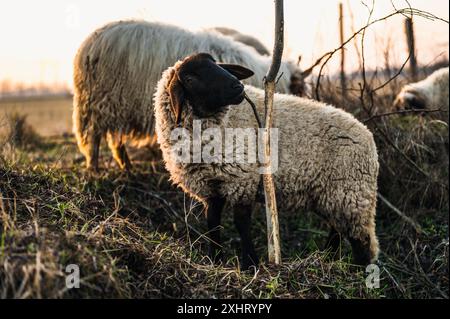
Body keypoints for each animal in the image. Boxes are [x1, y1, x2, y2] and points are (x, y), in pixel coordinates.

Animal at [72, 20, 312, 171]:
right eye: (300, 90)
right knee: (94, 138)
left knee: (114, 140)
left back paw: (127, 167)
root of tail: (87, 45)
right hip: (101, 103)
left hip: (116, 106)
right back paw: (94, 168)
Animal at [154, 53, 380, 268]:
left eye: (217, 64)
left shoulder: (242, 179)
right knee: (338, 229)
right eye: (190, 79)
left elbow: (241, 222)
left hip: (350, 192)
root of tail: (368, 136)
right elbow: (213, 222)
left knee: (362, 241)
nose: (237, 86)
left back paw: (357, 271)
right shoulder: (211, 185)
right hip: (333, 195)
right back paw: (329, 258)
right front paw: (215, 259)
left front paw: (250, 263)